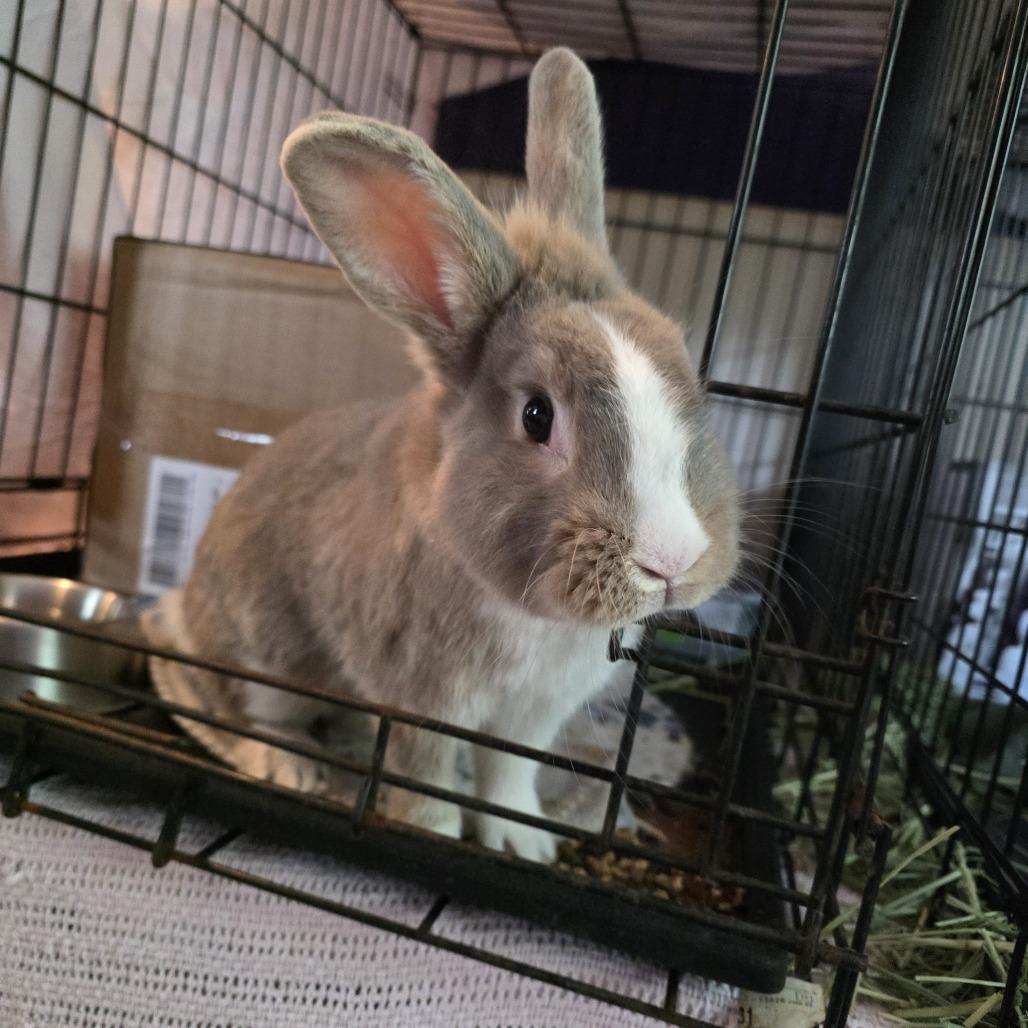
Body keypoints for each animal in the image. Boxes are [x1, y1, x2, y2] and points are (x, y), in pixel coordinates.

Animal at [145, 47, 740, 864]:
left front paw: (523, 843)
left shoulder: (530, 719)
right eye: (536, 415)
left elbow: (506, 777)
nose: (673, 561)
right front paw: (428, 829)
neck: (533, 614)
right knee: (241, 712)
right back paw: (292, 767)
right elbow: (425, 771)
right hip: (260, 649)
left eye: (691, 376)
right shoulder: (424, 697)